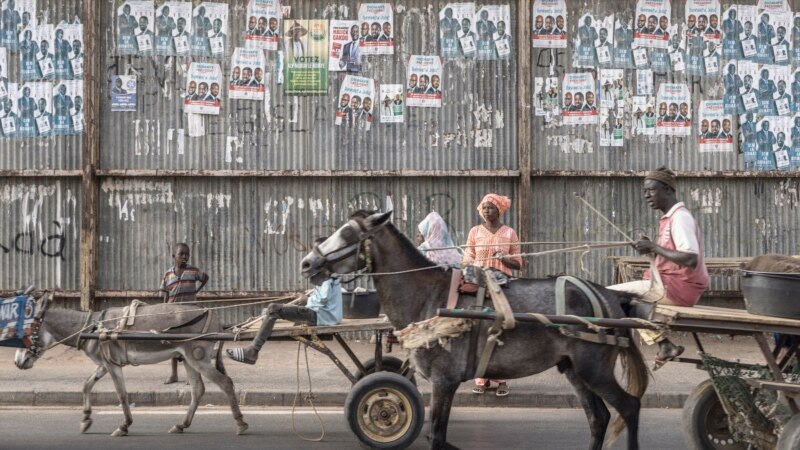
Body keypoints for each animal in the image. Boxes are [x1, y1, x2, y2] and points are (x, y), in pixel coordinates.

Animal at [302, 212, 648, 450]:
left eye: (347, 233)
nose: (307, 263)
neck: (428, 296)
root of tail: (611, 294)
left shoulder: (443, 381)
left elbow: (436, 436)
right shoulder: (445, 383)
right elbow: (438, 436)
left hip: (594, 369)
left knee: (629, 407)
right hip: (575, 370)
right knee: (599, 418)